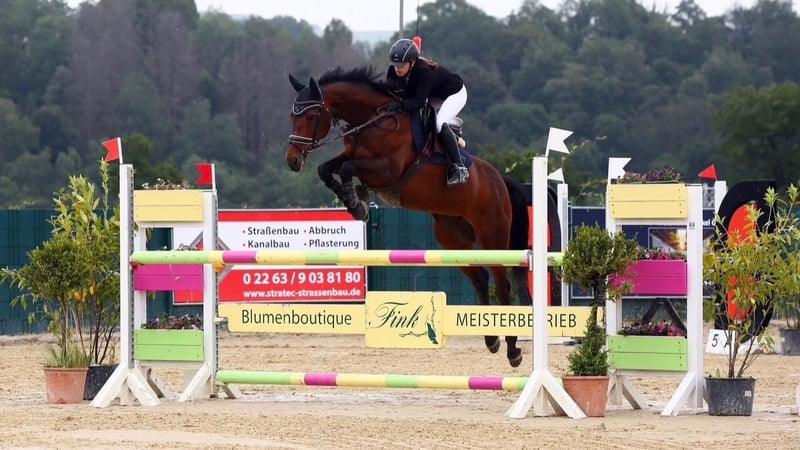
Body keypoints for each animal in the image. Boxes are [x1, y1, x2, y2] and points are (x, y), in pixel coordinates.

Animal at [286, 66, 530, 367]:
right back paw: (491, 340)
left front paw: (358, 201)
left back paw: (513, 350)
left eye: (310, 116)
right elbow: (327, 169)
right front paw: (356, 202)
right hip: (453, 239)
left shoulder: (387, 170)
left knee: (503, 285)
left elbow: (347, 169)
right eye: (292, 116)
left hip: (492, 236)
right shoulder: (353, 157)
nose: (293, 160)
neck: (372, 122)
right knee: (481, 280)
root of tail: (501, 182)